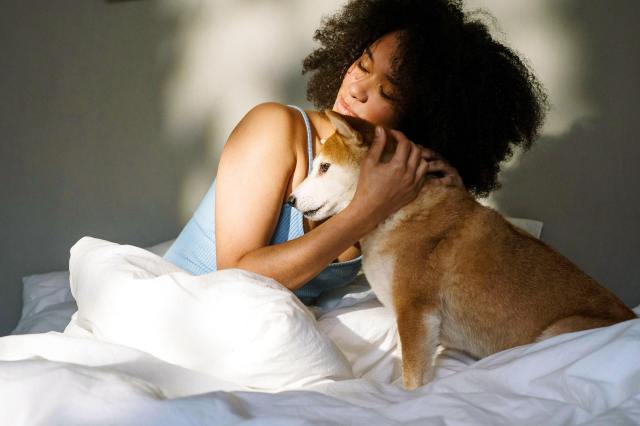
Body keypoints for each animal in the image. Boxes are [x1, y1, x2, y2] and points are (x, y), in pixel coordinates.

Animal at [288, 110, 636, 390]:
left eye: (324, 167)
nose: (290, 200)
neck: (399, 211)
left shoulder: (416, 310)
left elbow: (413, 379)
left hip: (558, 332)